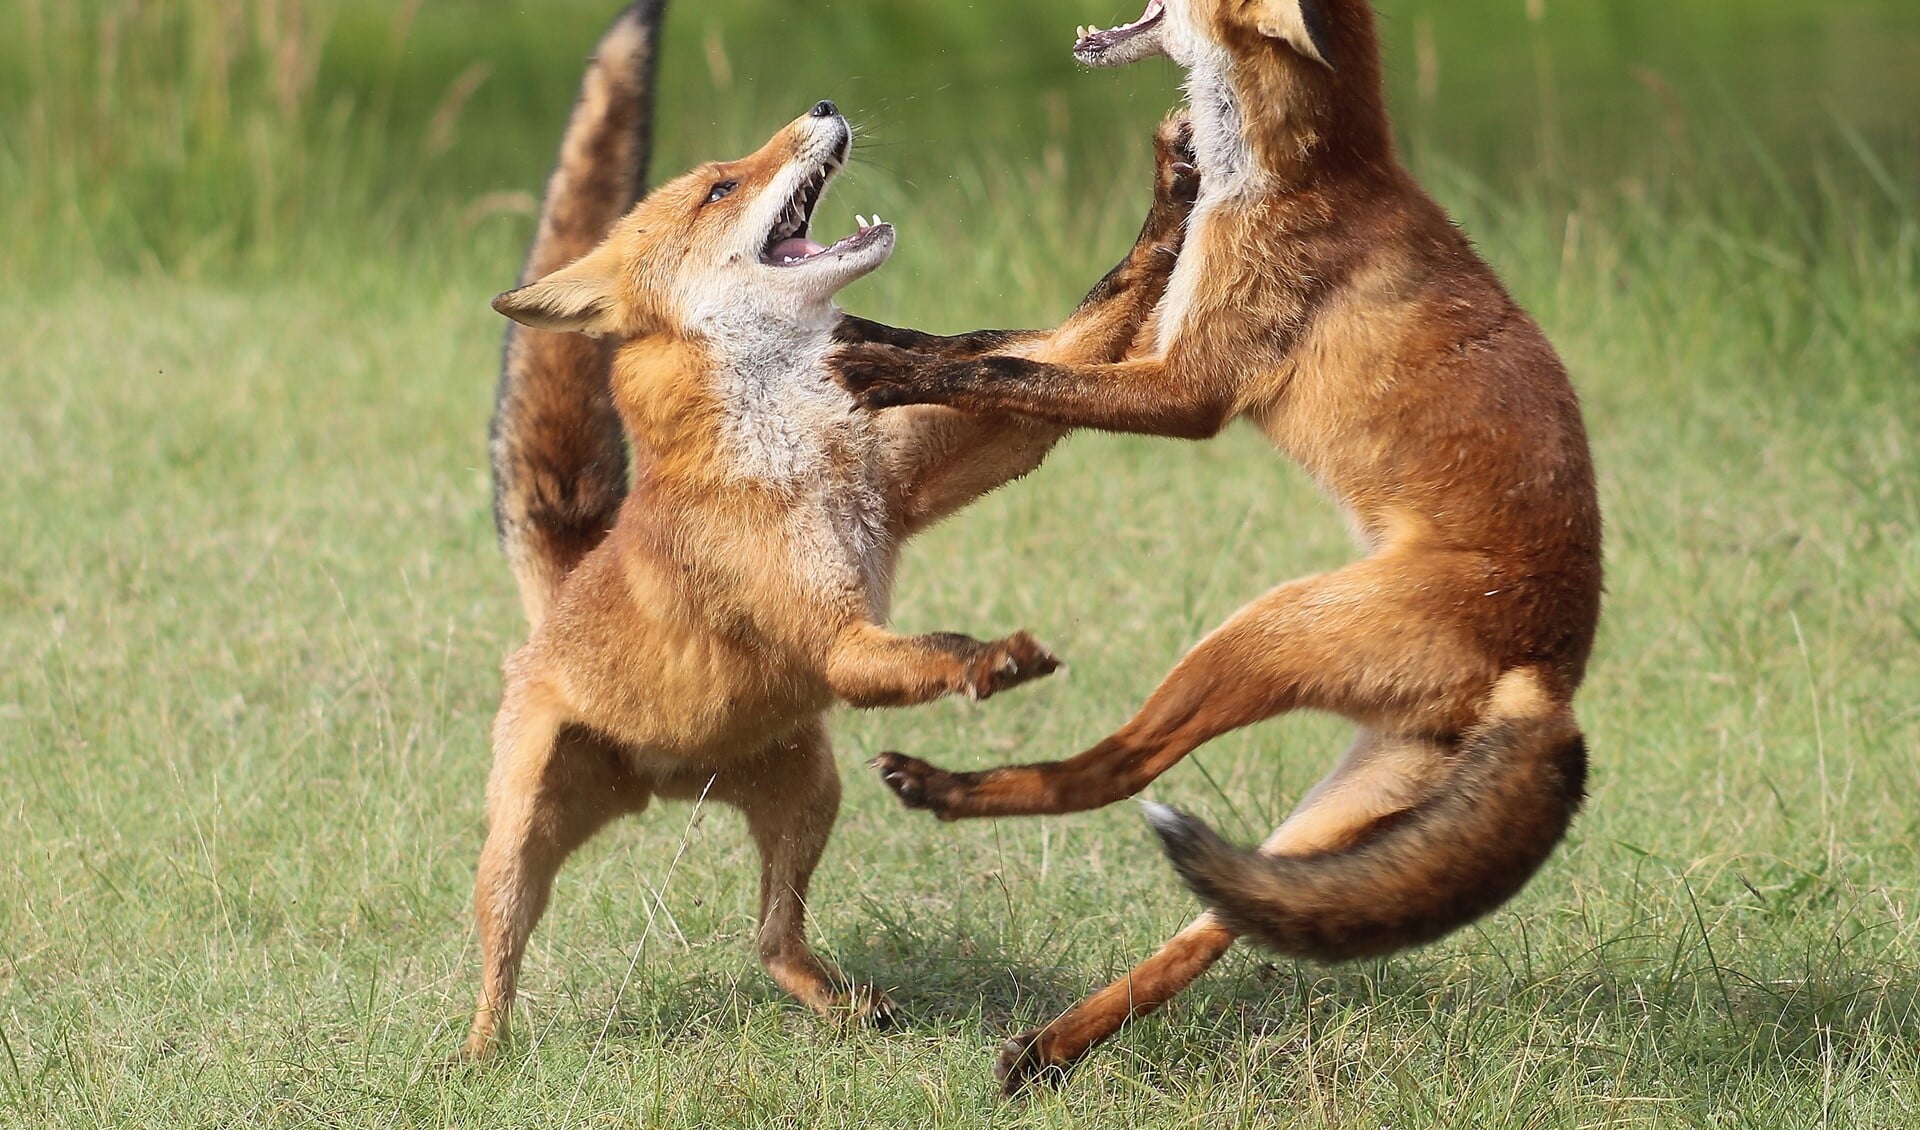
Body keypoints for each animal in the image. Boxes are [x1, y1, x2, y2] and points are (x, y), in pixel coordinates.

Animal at [468, 0, 1198, 1059]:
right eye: (721, 186)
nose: (820, 106)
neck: (797, 443)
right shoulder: (841, 643)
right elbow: (935, 646)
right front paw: (991, 662)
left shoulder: (963, 455)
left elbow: (1073, 337)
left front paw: (1173, 200)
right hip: (520, 841)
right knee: (500, 960)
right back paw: (477, 1061)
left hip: (809, 788)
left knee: (772, 942)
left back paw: (841, 1004)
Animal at [833, 0, 1597, 1089]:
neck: (1289, 174)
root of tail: (1555, 676)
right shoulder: (1162, 330)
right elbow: (992, 340)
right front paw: (873, 335)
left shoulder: (1189, 390)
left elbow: (1010, 369)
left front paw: (882, 371)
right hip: (1332, 815)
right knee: (1215, 929)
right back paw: (1050, 1045)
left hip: (1258, 630)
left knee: (1120, 770)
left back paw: (943, 790)